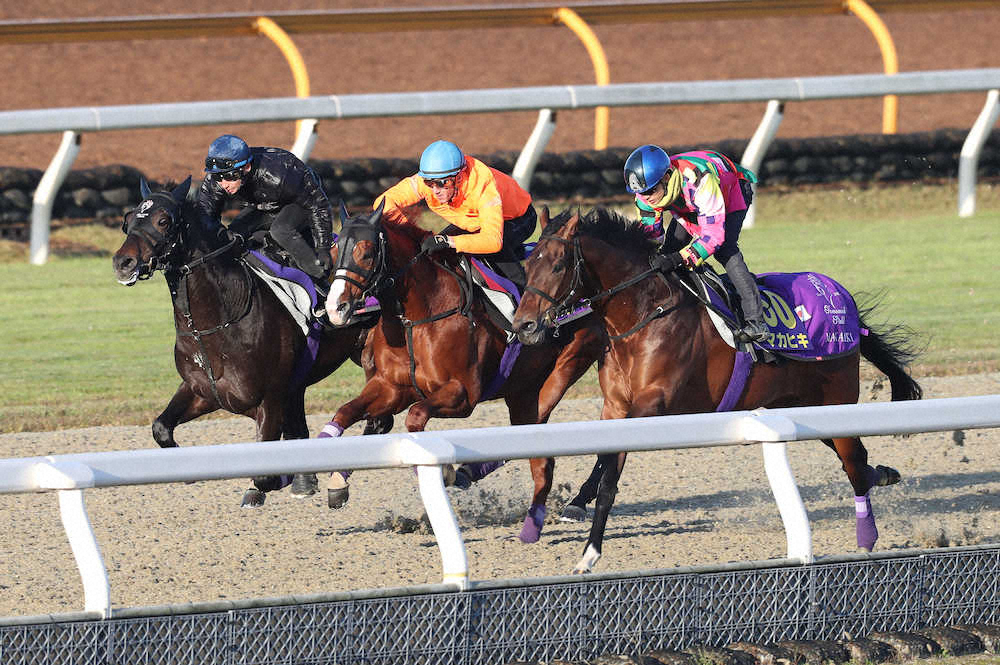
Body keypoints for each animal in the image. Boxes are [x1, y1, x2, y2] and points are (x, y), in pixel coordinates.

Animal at [111, 178, 391, 507]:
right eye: (128, 220)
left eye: (163, 221)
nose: (123, 262)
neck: (220, 319)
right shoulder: (204, 391)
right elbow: (160, 427)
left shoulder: (268, 399)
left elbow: (265, 472)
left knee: (379, 422)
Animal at [319, 201, 606, 542]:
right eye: (335, 251)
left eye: (365, 252)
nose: (335, 308)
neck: (420, 314)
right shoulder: (391, 388)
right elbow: (345, 412)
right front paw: (333, 478)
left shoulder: (463, 394)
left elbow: (415, 416)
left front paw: (443, 471)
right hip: (522, 389)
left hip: (560, 371)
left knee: (541, 455)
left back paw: (535, 520)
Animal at [512, 207, 923, 574]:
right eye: (528, 266)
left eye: (559, 265)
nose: (523, 325)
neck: (646, 312)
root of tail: (842, 299)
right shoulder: (615, 406)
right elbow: (604, 464)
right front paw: (585, 542)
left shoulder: (653, 405)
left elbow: (610, 477)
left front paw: (588, 549)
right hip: (806, 409)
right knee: (855, 459)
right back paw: (884, 475)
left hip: (835, 402)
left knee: (853, 462)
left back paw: (867, 536)